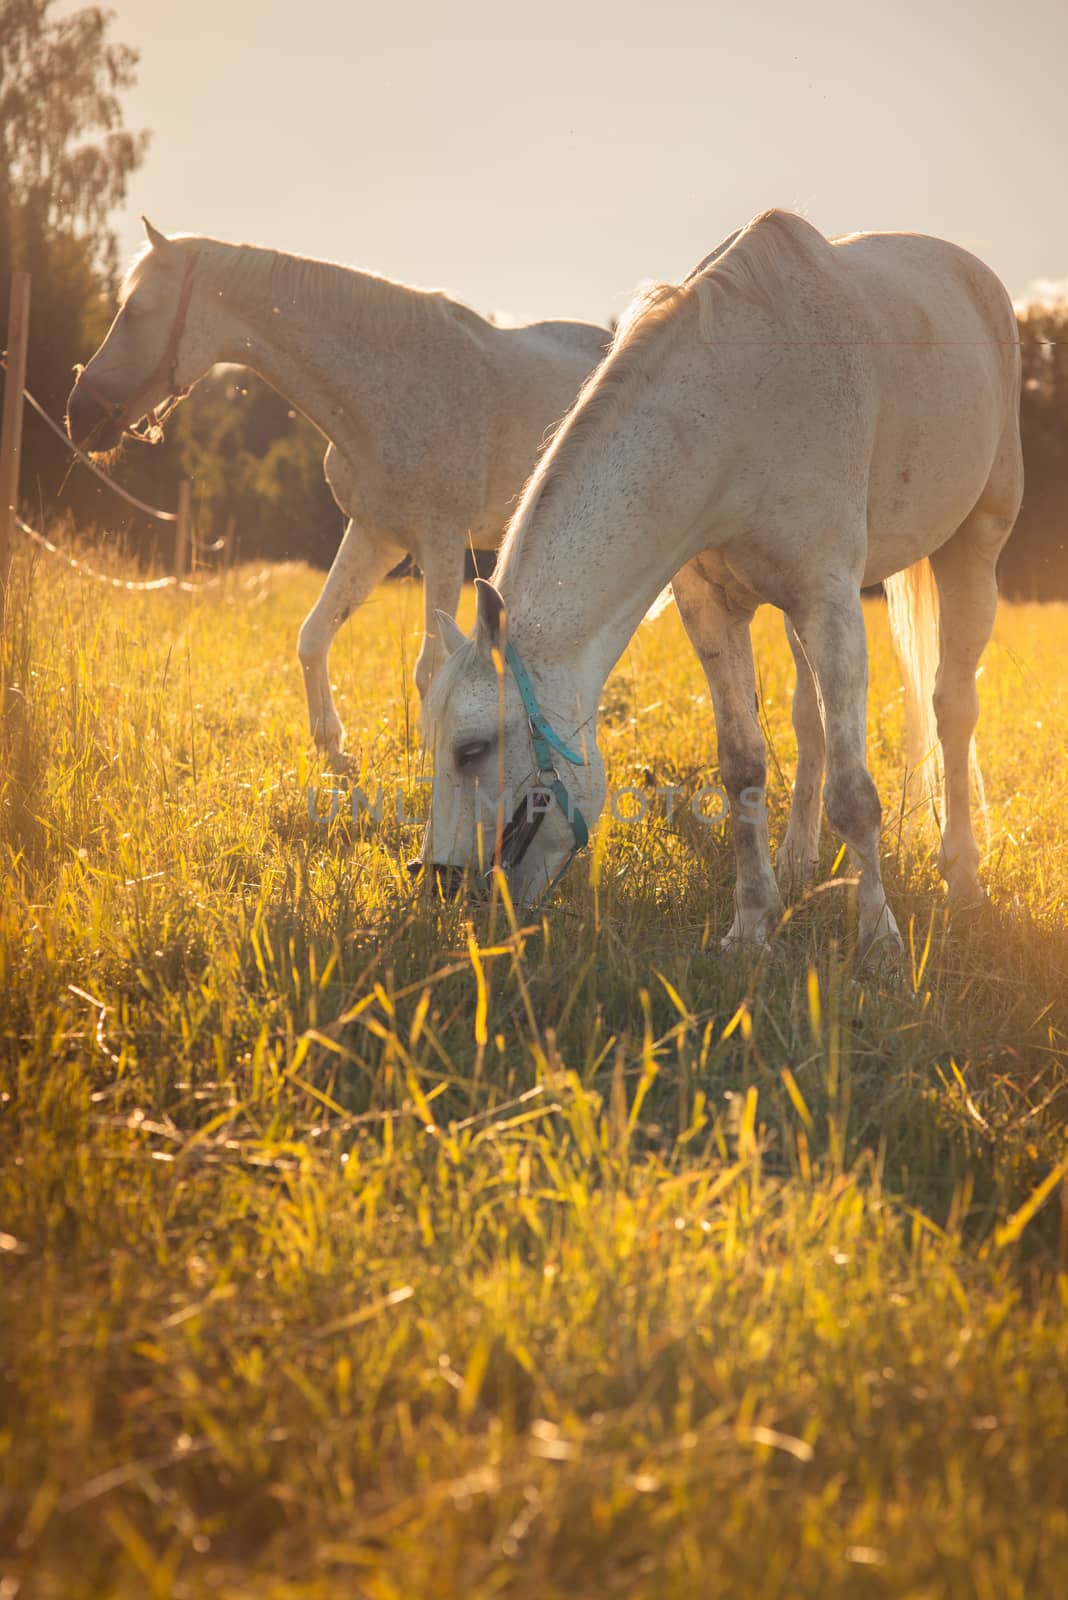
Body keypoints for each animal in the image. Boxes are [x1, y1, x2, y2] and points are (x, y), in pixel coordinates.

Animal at [66, 219, 607, 761]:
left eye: (135, 311)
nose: (78, 415)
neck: (386, 387)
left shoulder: (443, 543)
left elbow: (431, 671)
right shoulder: (376, 536)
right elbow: (313, 636)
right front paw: (333, 751)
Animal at [422, 211, 1023, 960]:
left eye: (472, 748)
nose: (441, 883)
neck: (743, 411)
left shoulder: (829, 601)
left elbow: (856, 793)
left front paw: (879, 942)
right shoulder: (714, 611)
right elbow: (743, 768)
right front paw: (752, 925)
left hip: (975, 546)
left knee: (953, 708)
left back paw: (962, 878)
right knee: (811, 720)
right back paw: (798, 862)